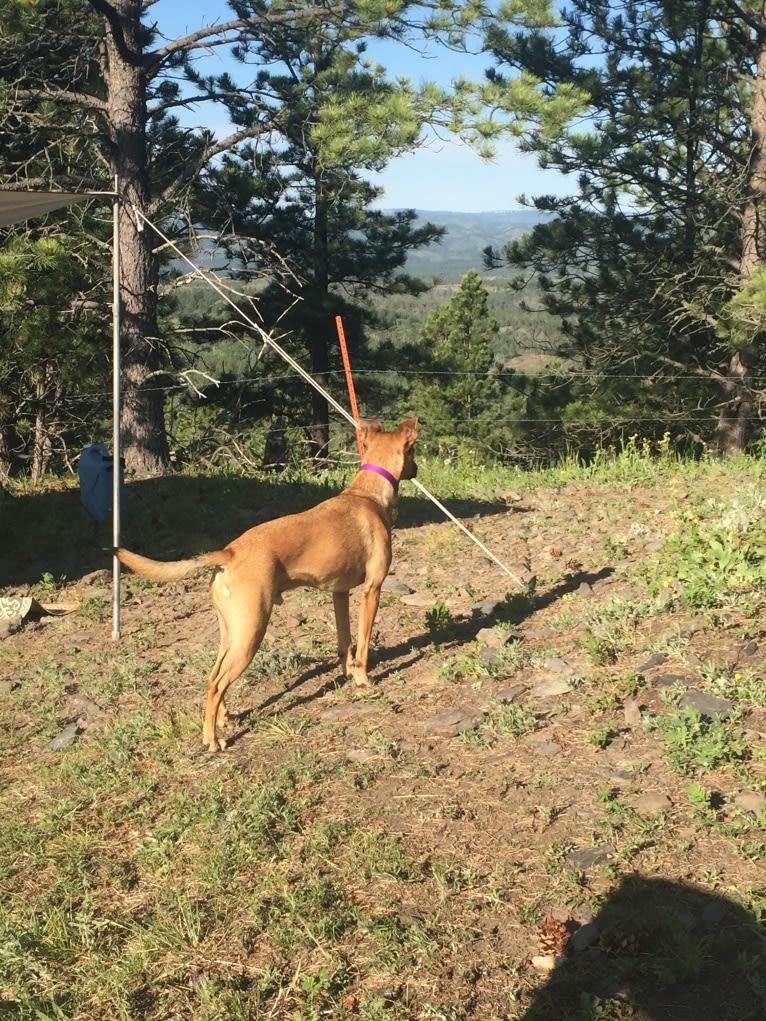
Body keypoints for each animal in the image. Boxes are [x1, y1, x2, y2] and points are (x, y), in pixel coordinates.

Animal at [118, 418, 420, 755]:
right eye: (413, 451)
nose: (417, 469)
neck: (367, 494)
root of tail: (229, 552)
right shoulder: (372, 589)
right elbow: (364, 642)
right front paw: (365, 678)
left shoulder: (338, 593)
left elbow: (345, 644)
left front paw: (349, 673)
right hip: (251, 631)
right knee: (218, 684)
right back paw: (212, 739)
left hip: (232, 631)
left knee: (213, 676)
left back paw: (224, 719)